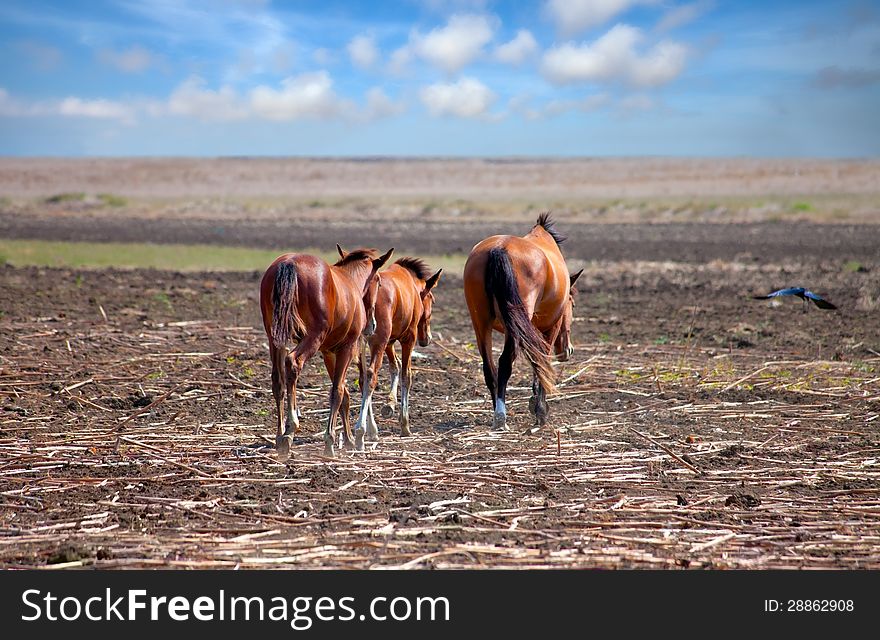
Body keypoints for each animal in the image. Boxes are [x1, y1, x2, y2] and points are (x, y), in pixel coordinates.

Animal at [260, 246, 394, 460]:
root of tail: (289, 263)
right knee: (293, 363)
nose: (372, 325)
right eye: (379, 281)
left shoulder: (329, 352)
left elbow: (344, 393)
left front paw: (348, 439)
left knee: (278, 381)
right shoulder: (346, 347)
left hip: (275, 337)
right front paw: (330, 441)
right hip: (313, 337)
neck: (350, 282)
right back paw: (290, 429)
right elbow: (337, 391)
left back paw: (280, 436)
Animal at [350, 255, 444, 450]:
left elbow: (395, 366)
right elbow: (406, 375)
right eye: (432, 299)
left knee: (364, 378)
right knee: (371, 375)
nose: (427, 339)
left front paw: (389, 404)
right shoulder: (408, 337)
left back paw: (370, 429)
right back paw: (362, 431)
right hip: (377, 340)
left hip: (365, 342)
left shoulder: (389, 341)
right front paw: (404, 424)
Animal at [464, 214, 580, 430]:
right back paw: (501, 417)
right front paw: (540, 409)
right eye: (573, 304)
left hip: (481, 323)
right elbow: (541, 361)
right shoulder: (551, 327)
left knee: (489, 368)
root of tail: (499, 249)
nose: (567, 350)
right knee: (504, 363)